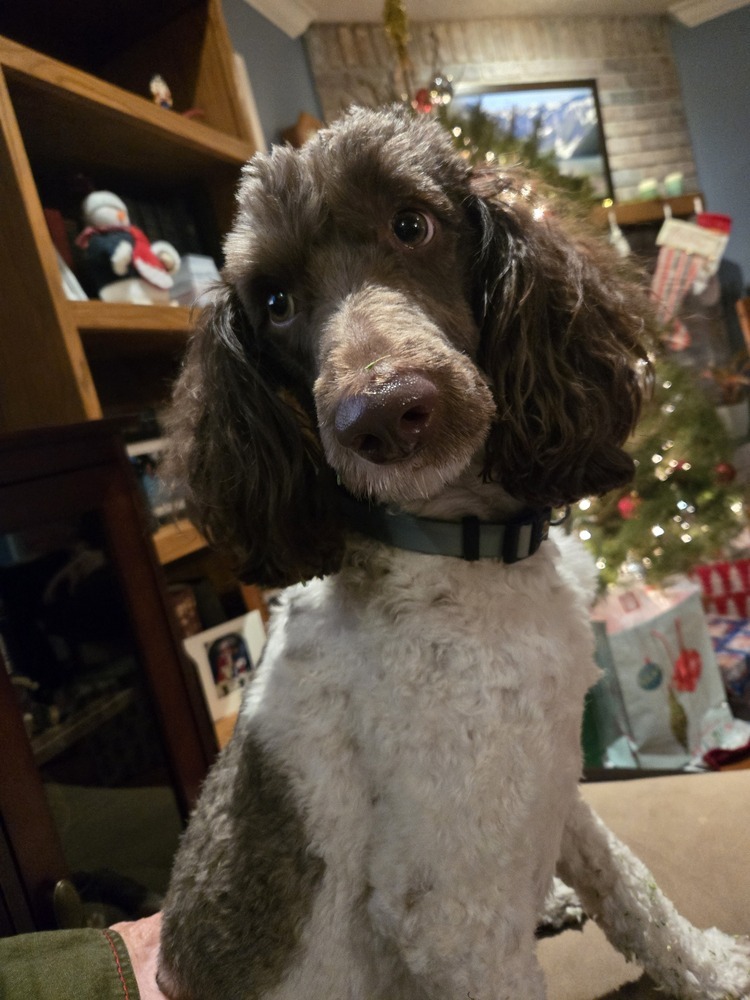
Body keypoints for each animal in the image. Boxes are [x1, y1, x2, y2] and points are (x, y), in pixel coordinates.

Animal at [156, 105, 748, 996]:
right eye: (277, 302)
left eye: (412, 224)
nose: (381, 414)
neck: (460, 554)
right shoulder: (453, 923)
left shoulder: (551, 780)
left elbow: (630, 888)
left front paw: (710, 969)